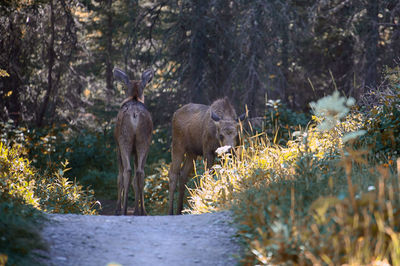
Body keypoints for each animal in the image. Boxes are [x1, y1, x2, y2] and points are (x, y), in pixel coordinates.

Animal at [114, 67, 155, 215]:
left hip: (124, 139)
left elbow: (119, 178)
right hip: (144, 141)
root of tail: (135, 114)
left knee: (127, 171)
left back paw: (124, 210)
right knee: (140, 172)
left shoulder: (117, 148)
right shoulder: (137, 151)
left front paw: (118, 207)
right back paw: (141, 210)